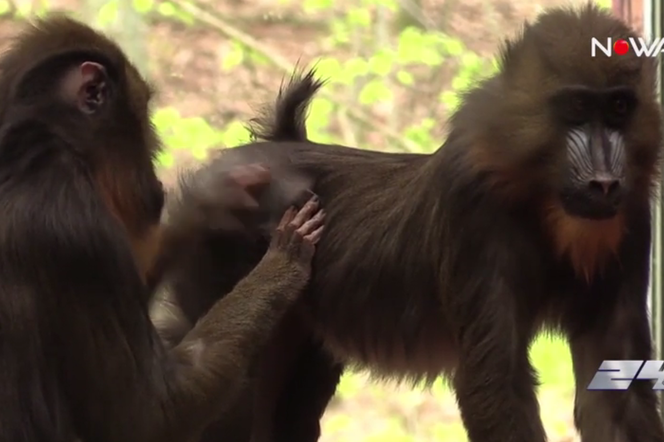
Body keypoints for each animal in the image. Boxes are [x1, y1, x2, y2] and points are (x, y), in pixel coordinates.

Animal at [0, 16, 324, 442]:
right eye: (145, 115)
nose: (157, 153)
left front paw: (210, 201)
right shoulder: (77, 230)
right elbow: (148, 418)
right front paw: (282, 266)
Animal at [158, 3, 664, 442]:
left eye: (620, 108)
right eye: (576, 108)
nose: (604, 183)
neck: (541, 199)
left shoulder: (632, 222)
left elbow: (619, 392)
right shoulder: (474, 214)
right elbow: (494, 382)